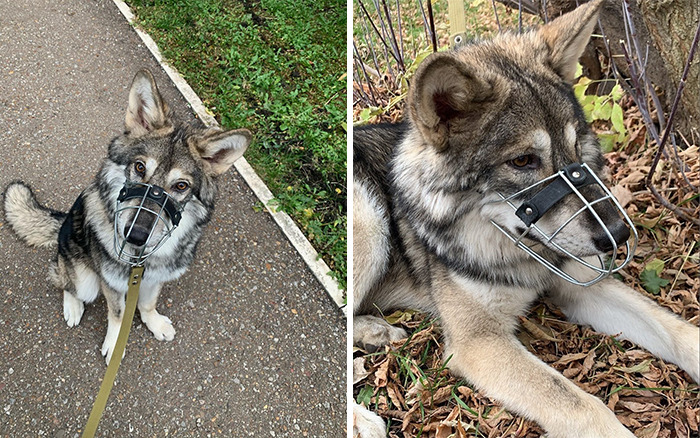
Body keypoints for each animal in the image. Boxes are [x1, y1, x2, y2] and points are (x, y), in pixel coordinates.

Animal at [3, 69, 251, 364]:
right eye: (140, 167)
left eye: (181, 186)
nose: (135, 234)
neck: (141, 258)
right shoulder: (112, 284)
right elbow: (118, 314)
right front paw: (114, 344)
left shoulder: (153, 279)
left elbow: (147, 302)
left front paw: (153, 322)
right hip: (83, 277)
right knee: (63, 278)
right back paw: (72, 306)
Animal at [352, 1, 700, 436]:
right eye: (522, 162)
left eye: (575, 145)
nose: (619, 235)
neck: (510, 248)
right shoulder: (480, 342)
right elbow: (582, 406)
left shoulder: (582, 285)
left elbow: (675, 329)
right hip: (369, 220)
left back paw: (376, 332)